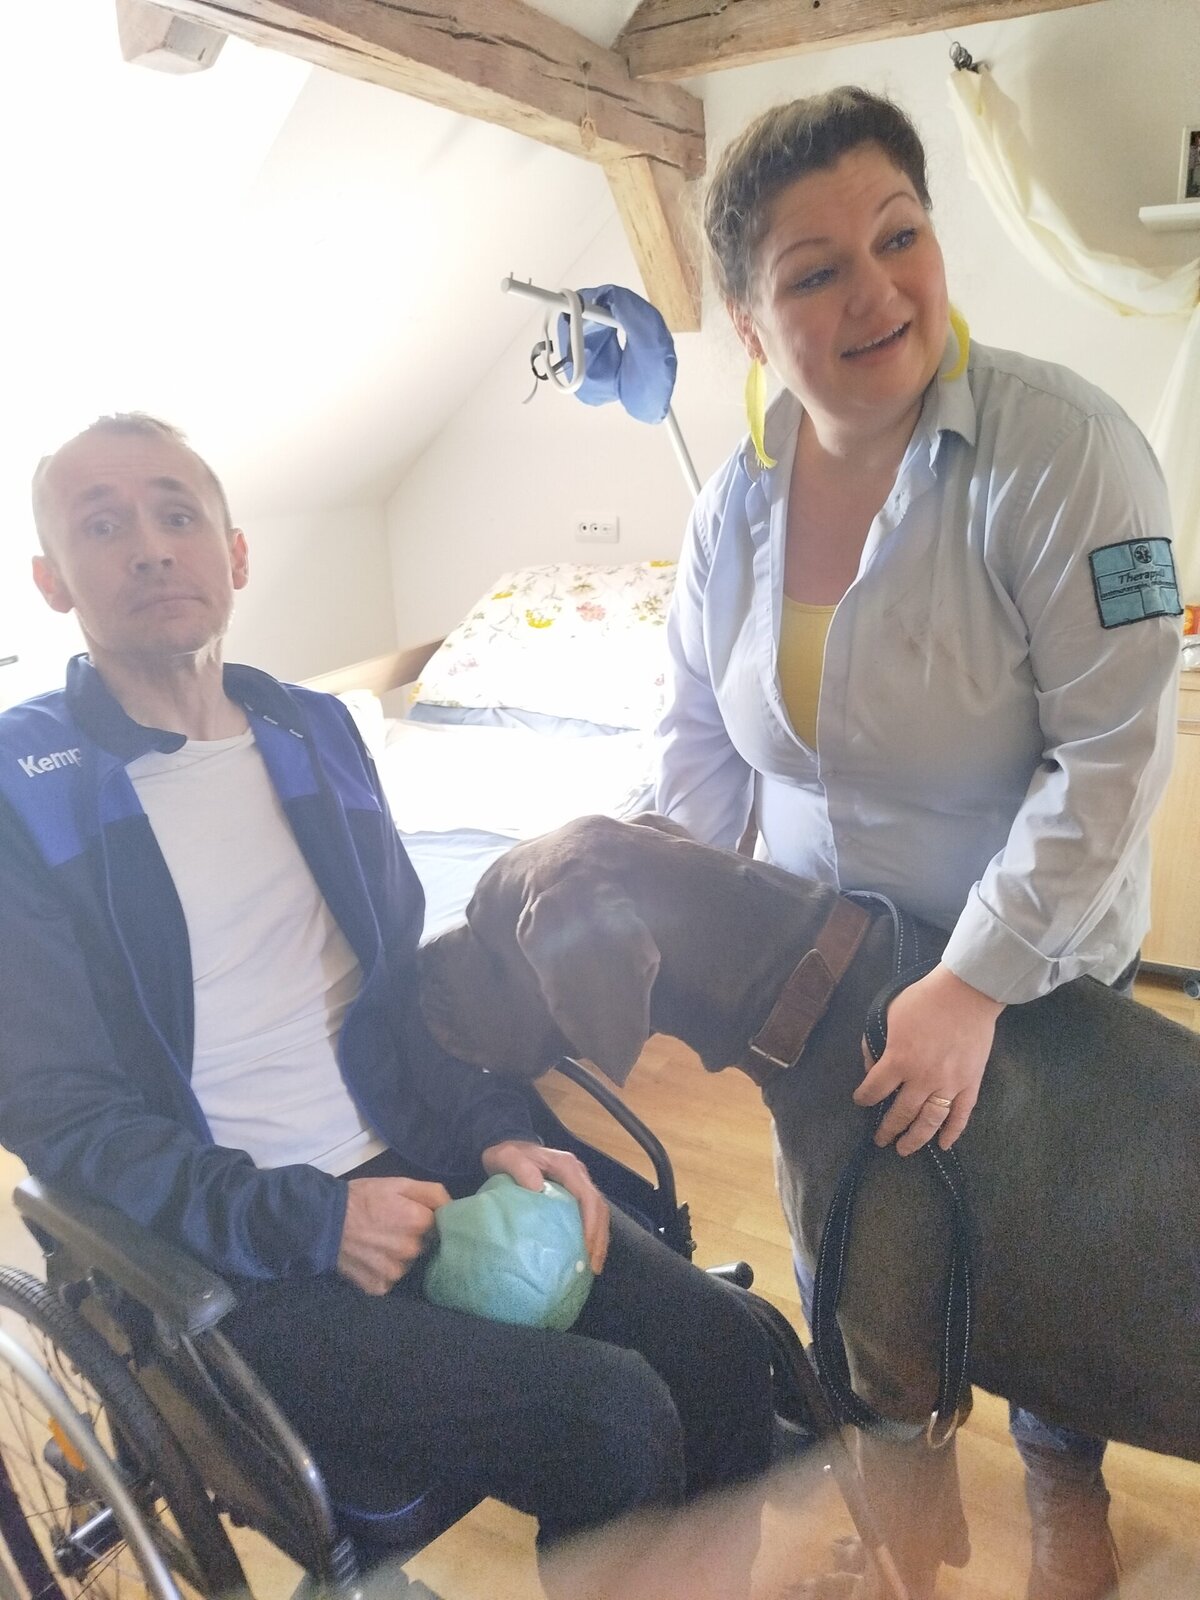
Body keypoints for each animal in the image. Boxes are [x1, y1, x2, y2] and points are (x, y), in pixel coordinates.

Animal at [419, 813, 1200, 1596]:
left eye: (481, 924)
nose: (413, 963)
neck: (813, 996)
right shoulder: (919, 1388)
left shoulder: (892, 1384)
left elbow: (903, 1537)